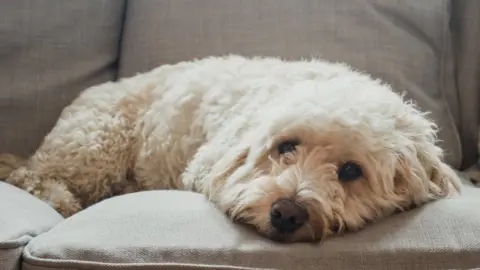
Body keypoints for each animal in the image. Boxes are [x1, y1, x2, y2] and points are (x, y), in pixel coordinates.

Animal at [1, 55, 464, 243]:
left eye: (351, 171)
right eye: (285, 146)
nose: (287, 213)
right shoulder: (205, 165)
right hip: (96, 142)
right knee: (34, 175)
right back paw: (59, 197)